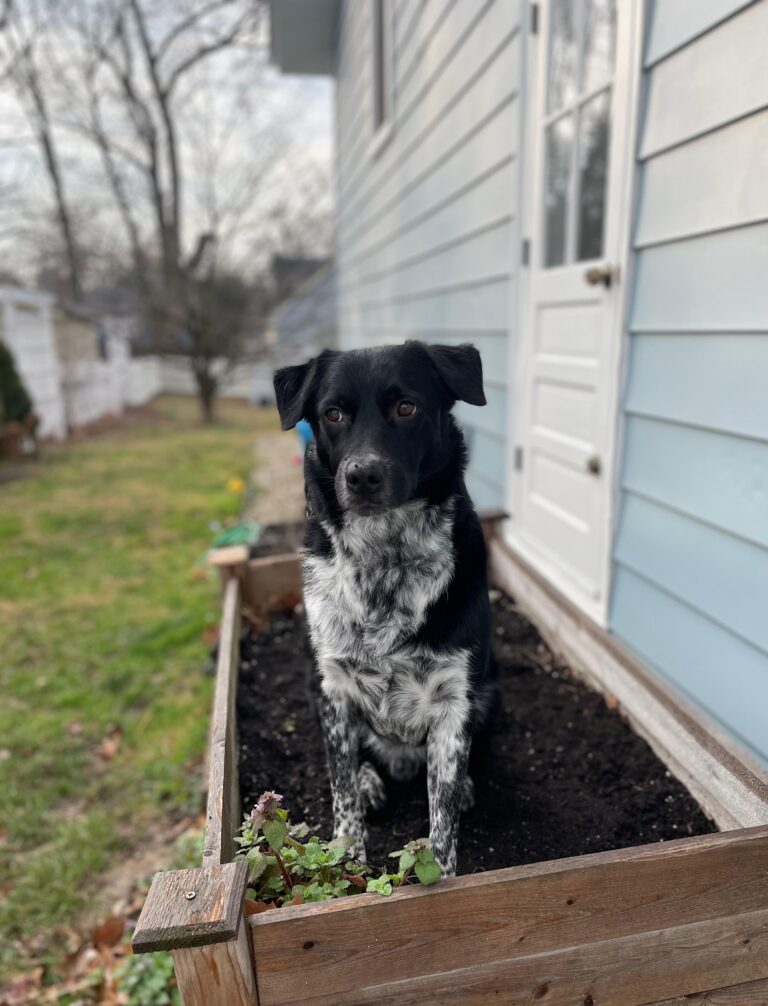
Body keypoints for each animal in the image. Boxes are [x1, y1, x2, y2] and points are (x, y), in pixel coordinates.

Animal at [273, 342, 495, 877]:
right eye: (332, 414)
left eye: (406, 408)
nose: (362, 475)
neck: (384, 560)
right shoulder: (332, 689)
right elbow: (341, 785)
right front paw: (346, 859)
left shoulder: (455, 698)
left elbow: (442, 816)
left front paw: (443, 878)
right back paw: (373, 780)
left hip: (489, 693)